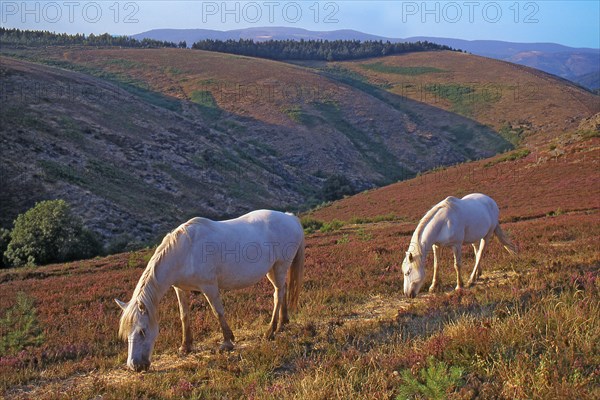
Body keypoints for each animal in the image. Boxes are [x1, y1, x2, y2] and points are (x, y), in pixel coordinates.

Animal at [116, 209, 304, 372]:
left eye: (142, 331)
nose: (134, 366)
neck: (186, 251)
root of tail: (290, 218)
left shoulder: (209, 287)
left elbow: (217, 312)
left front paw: (227, 342)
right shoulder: (180, 289)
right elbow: (184, 316)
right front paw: (185, 346)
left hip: (279, 267)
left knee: (277, 295)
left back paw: (270, 331)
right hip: (272, 270)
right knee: (282, 290)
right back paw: (283, 322)